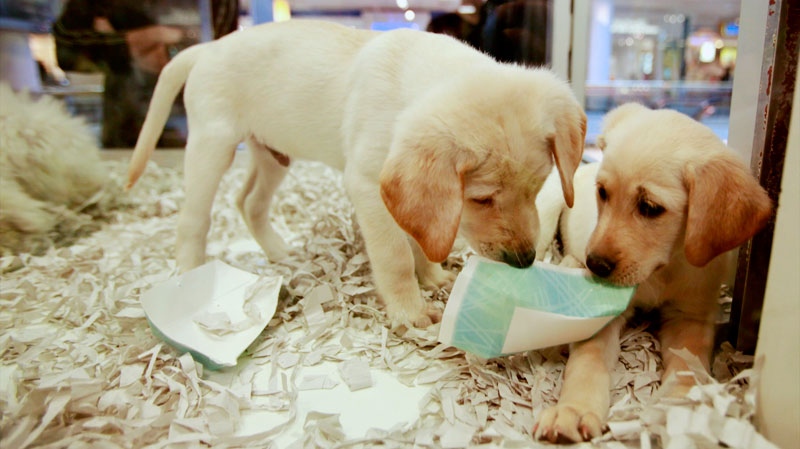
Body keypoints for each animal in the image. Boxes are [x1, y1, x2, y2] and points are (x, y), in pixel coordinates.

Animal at [126, 19, 588, 328]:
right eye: (481, 199)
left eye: (537, 189)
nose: (524, 261)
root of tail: (208, 47)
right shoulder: (369, 186)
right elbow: (396, 255)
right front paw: (410, 311)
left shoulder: (404, 196)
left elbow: (421, 235)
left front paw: (434, 277)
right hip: (212, 144)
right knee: (194, 219)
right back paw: (190, 276)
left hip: (272, 154)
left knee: (249, 202)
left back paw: (281, 253)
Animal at [536, 102, 772, 440]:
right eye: (602, 192)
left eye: (649, 207)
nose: (596, 265)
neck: (663, 270)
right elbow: (589, 360)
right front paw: (574, 410)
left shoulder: (690, 315)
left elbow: (689, 364)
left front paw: (682, 408)